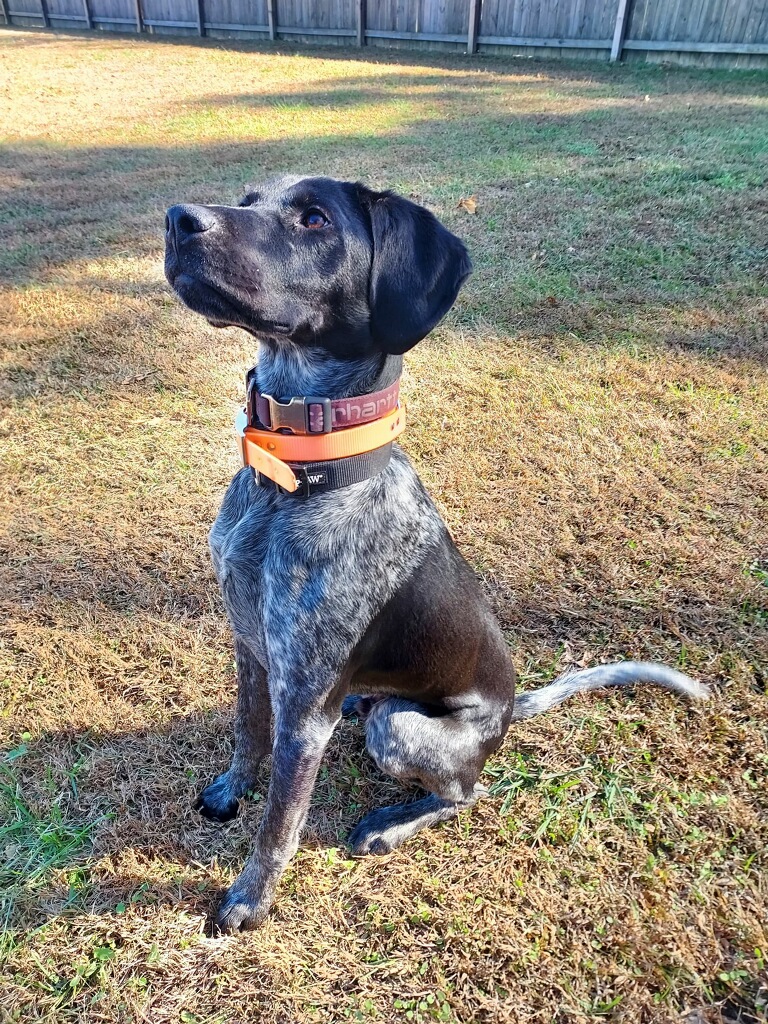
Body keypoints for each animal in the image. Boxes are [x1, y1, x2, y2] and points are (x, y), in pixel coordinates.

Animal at [164, 175, 708, 933]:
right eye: (249, 199)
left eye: (314, 219)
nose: (178, 220)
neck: (295, 481)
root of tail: (509, 706)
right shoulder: (250, 645)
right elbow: (248, 733)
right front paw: (229, 791)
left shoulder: (305, 710)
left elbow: (279, 824)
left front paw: (249, 901)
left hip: (402, 728)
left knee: (465, 792)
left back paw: (389, 825)